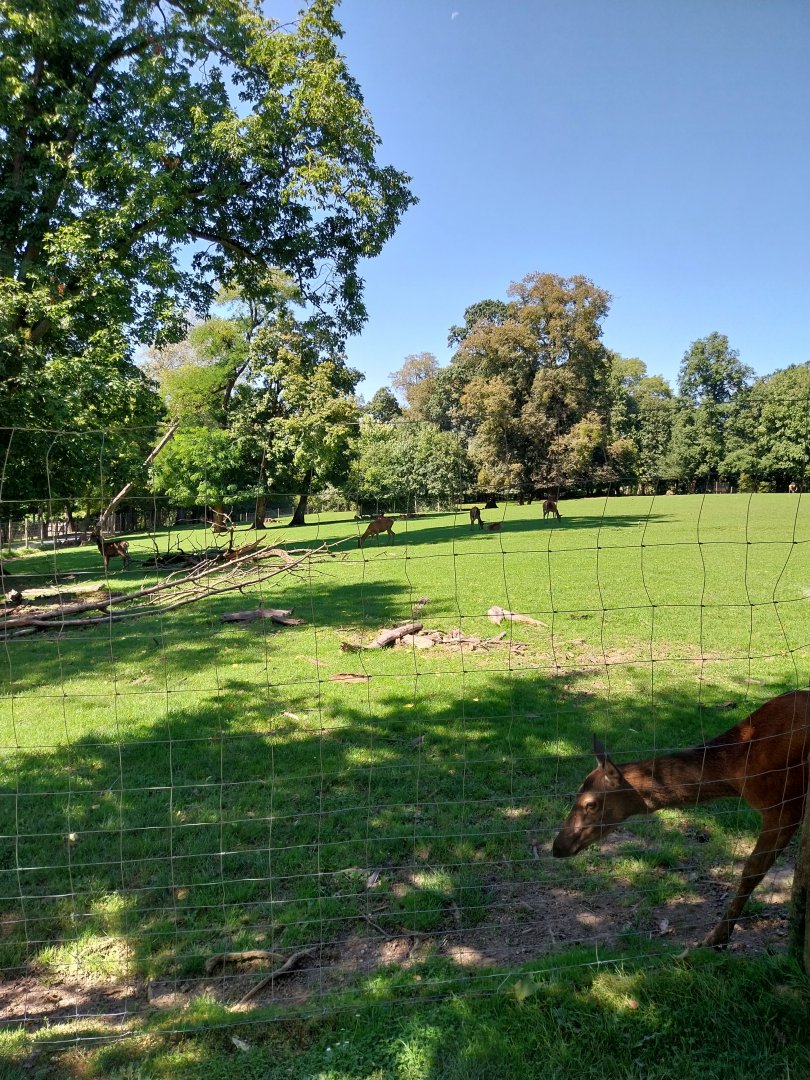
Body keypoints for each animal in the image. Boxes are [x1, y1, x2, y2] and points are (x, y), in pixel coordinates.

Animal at [552, 690, 810, 948]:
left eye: (591, 804)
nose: (557, 846)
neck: (738, 769)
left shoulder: (785, 805)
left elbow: (751, 871)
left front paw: (715, 938)